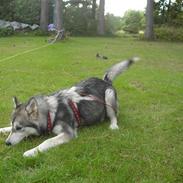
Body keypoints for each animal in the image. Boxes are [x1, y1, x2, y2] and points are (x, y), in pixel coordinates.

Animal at [0, 57, 139, 157]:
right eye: (13, 127)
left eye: (19, 128)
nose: (7, 143)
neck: (51, 114)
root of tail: (105, 80)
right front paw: (2, 129)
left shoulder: (68, 133)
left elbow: (46, 141)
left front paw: (31, 152)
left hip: (108, 96)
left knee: (114, 115)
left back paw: (113, 125)